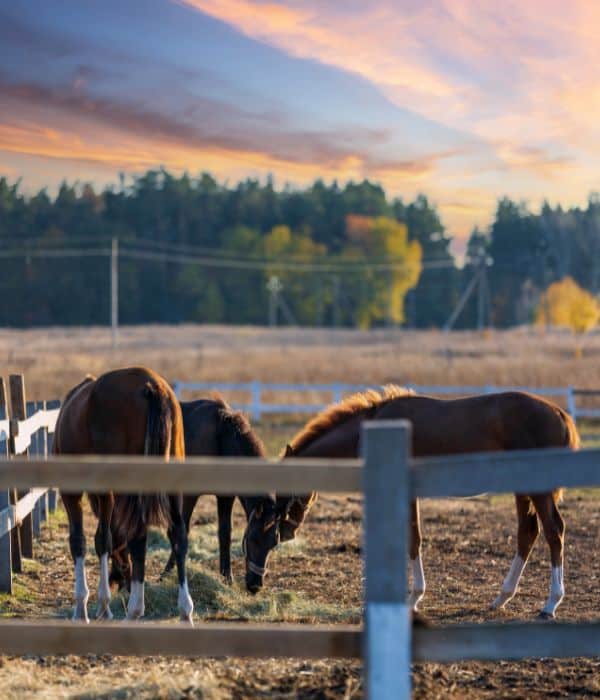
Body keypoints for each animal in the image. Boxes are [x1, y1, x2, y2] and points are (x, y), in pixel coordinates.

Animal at [53, 367, 194, 623]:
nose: (122, 582)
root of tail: (152, 386)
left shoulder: (72, 492)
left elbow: (80, 541)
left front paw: (82, 609)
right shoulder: (106, 495)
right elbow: (104, 539)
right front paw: (103, 606)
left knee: (139, 538)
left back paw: (134, 610)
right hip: (172, 485)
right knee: (179, 536)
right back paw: (185, 612)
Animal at [158, 397, 280, 594]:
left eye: (274, 543)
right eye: (252, 539)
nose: (255, 586)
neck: (221, 438)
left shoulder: (225, 496)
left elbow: (225, 533)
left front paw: (227, 578)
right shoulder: (190, 494)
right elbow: (181, 531)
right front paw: (166, 574)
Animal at [272, 386, 579, 618]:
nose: (284, 532)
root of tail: (561, 415)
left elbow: (413, 539)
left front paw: (413, 599)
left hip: (538, 491)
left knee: (554, 532)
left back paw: (550, 604)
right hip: (523, 489)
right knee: (527, 534)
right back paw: (501, 598)